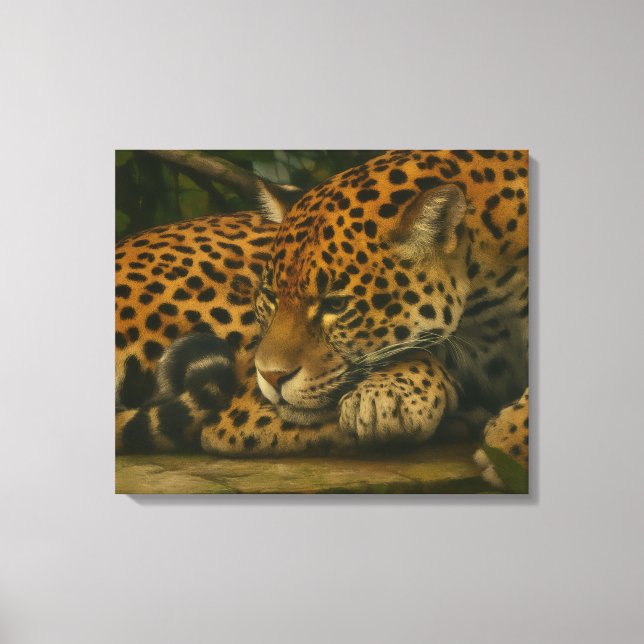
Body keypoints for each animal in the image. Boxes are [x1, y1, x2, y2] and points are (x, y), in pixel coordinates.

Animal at [115, 150, 529, 489]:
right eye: (271, 297)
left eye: (335, 304)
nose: (271, 377)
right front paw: (389, 398)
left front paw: (513, 441)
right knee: (235, 421)